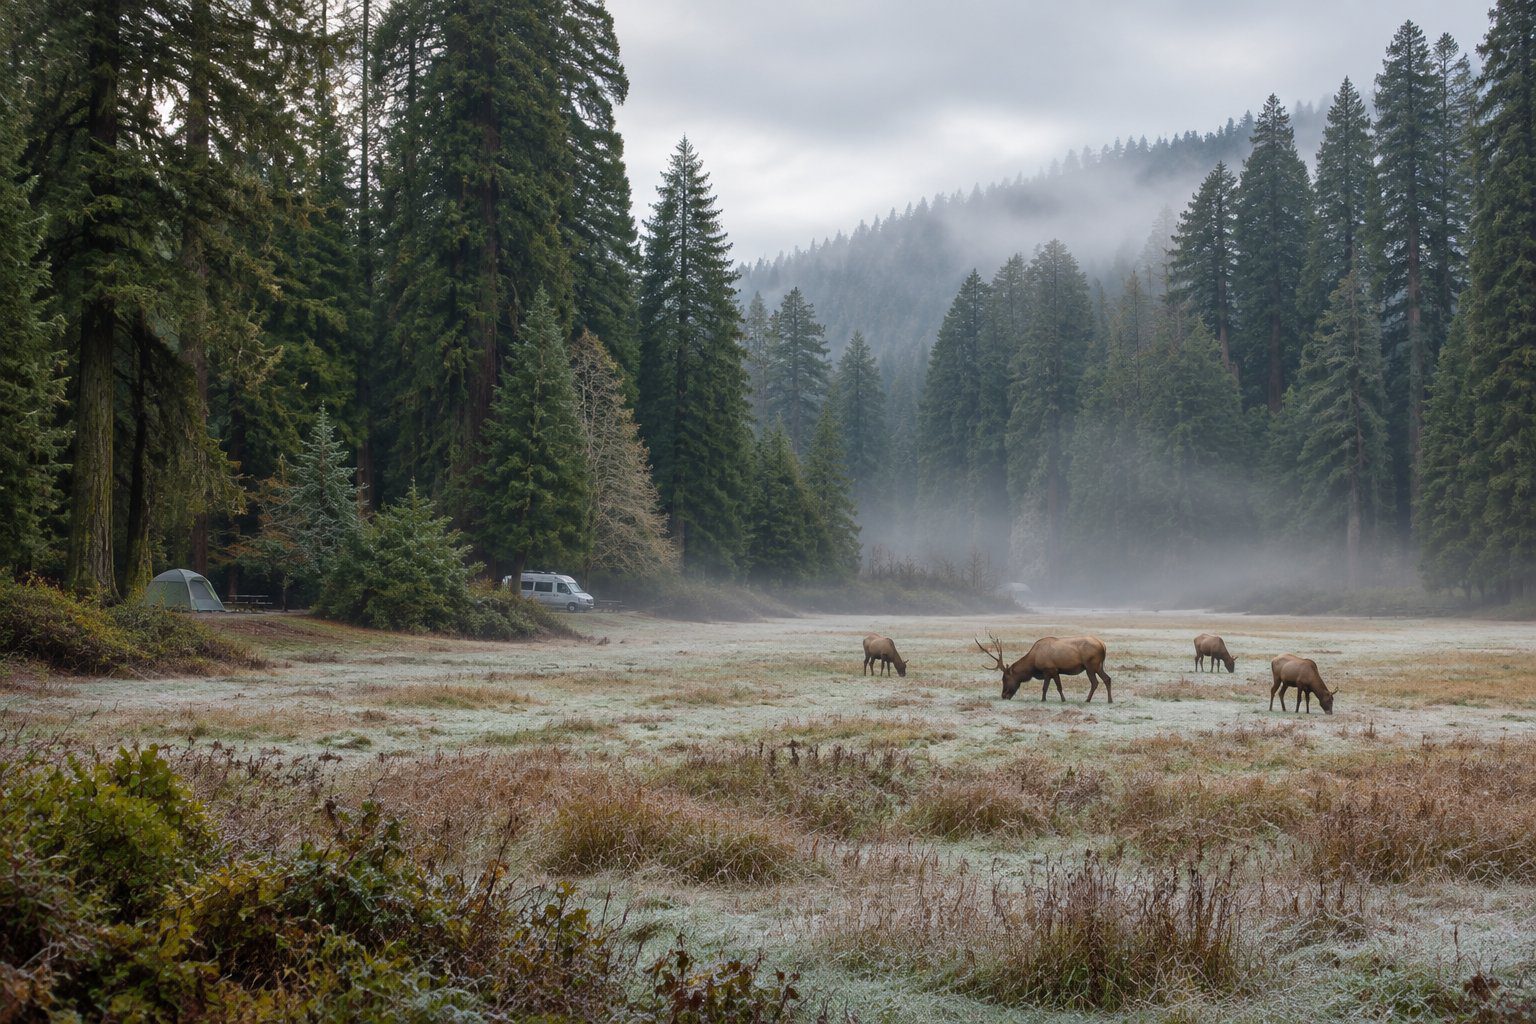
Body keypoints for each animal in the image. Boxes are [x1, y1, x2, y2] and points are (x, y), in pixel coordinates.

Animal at [976, 632, 1112, 702]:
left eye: (1005, 678)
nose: (1003, 695)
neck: (1033, 665)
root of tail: (1103, 645)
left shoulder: (1053, 669)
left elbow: (1058, 687)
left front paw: (1063, 700)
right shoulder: (1047, 672)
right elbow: (1045, 688)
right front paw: (1043, 699)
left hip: (1090, 665)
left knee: (1095, 682)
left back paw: (1088, 700)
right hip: (1098, 666)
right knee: (1107, 679)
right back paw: (1109, 700)